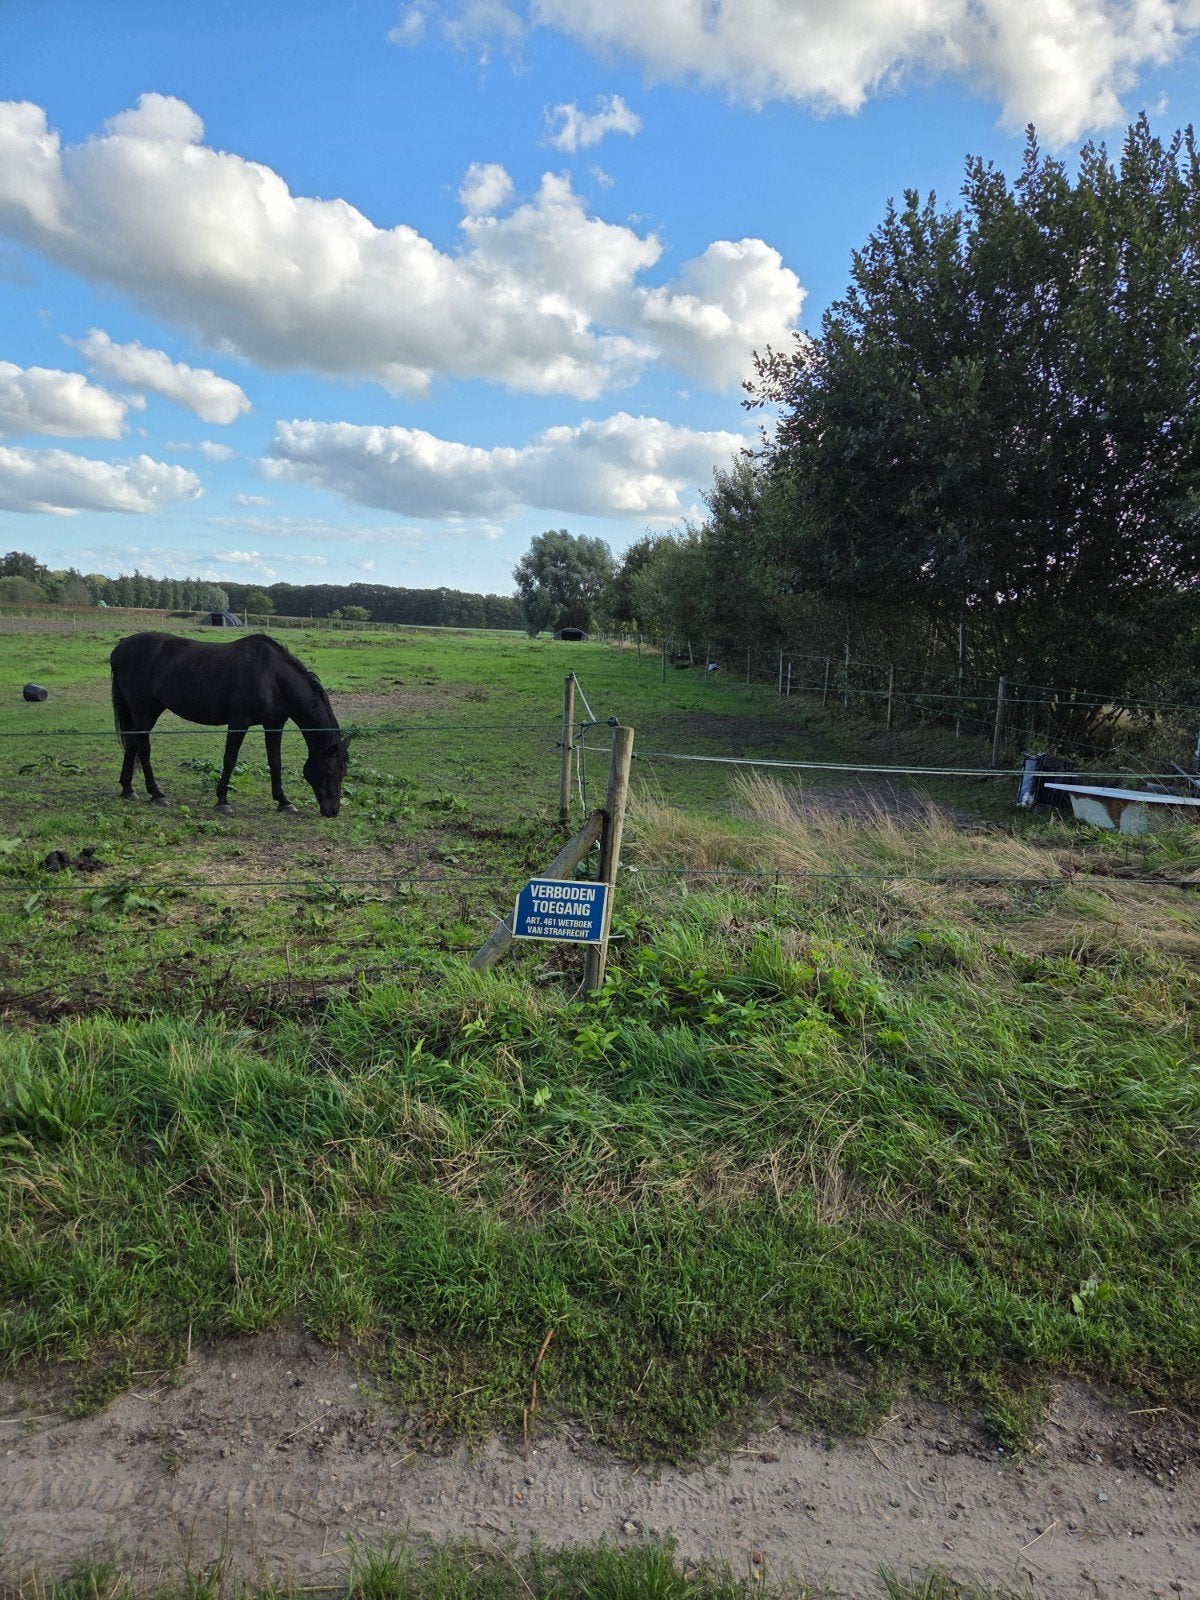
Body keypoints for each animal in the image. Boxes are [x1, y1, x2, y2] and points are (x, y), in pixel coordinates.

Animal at [110, 632, 350, 817]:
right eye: (330, 772)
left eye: (343, 772)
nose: (332, 811)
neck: (272, 676)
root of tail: (120, 647)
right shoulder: (239, 721)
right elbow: (230, 759)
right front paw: (222, 801)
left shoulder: (274, 724)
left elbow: (275, 762)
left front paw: (284, 802)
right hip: (143, 711)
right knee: (143, 748)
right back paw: (156, 794)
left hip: (146, 711)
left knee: (132, 744)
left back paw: (128, 789)